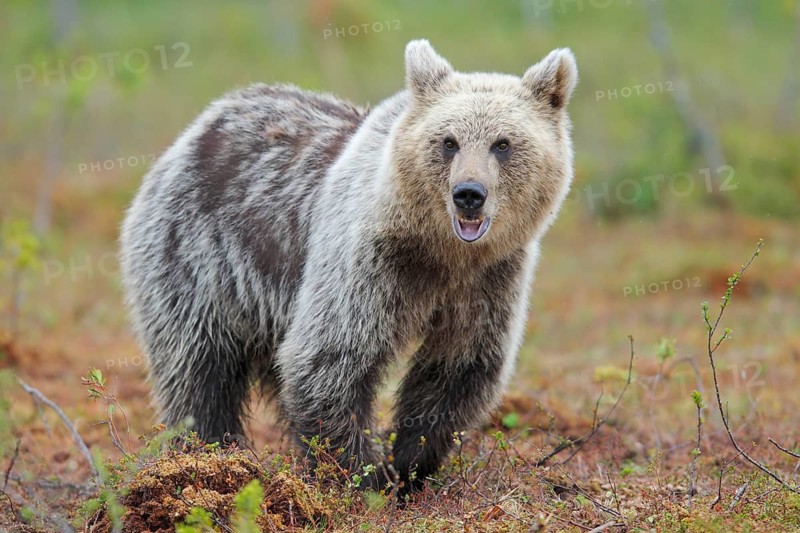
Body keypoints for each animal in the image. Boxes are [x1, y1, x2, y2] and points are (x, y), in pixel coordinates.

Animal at [119, 39, 577, 492]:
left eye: (502, 143)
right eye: (449, 142)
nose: (469, 193)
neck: (442, 253)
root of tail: (200, 125)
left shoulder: (490, 280)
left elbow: (458, 368)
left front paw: (410, 466)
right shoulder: (369, 265)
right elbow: (329, 359)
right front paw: (365, 476)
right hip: (196, 253)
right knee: (197, 365)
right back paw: (206, 455)